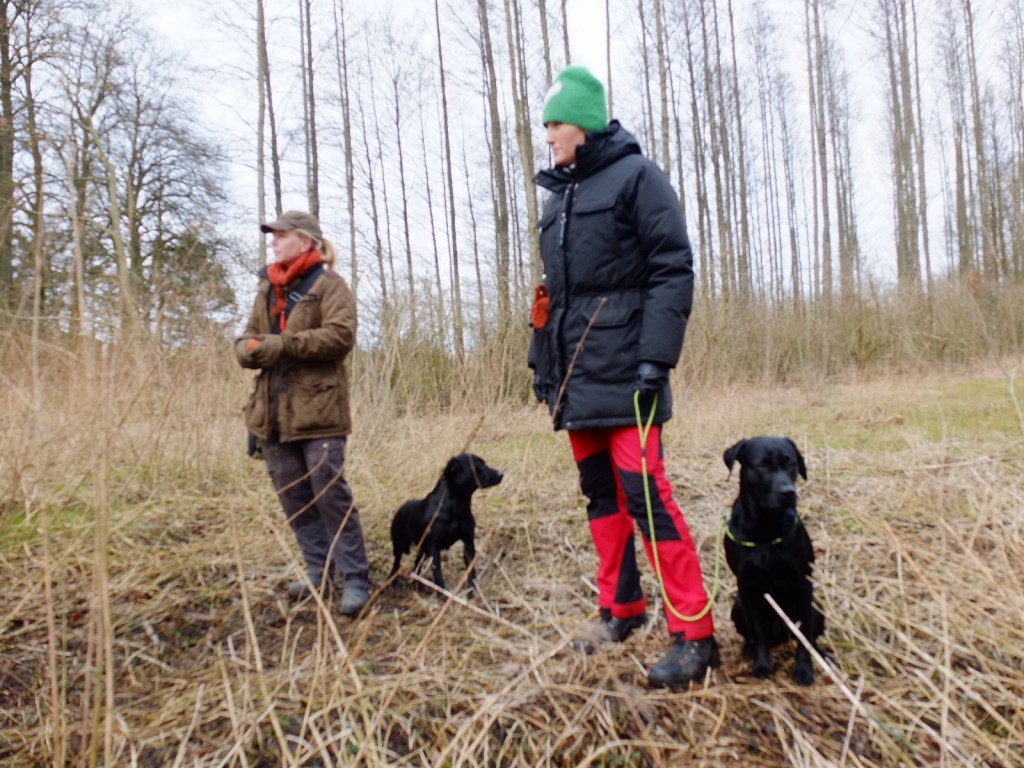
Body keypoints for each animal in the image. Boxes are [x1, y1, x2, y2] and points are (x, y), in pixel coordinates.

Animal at [387, 454, 503, 598]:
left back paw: (417, 584)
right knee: (396, 563)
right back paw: (392, 582)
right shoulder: (434, 549)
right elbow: (438, 575)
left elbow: (470, 571)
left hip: (423, 550)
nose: (501, 474)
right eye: (478, 466)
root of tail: (400, 509)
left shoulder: (468, 543)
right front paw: (442, 595)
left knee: (417, 563)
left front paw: (471, 592)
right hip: (400, 545)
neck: (457, 507)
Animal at [720, 438, 823, 684]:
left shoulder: (804, 583)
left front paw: (804, 669)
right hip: (737, 607)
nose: (788, 492)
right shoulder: (747, 586)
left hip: (818, 608)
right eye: (762, 465)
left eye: (791, 464)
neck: (765, 529)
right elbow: (757, 632)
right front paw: (762, 665)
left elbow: (805, 634)